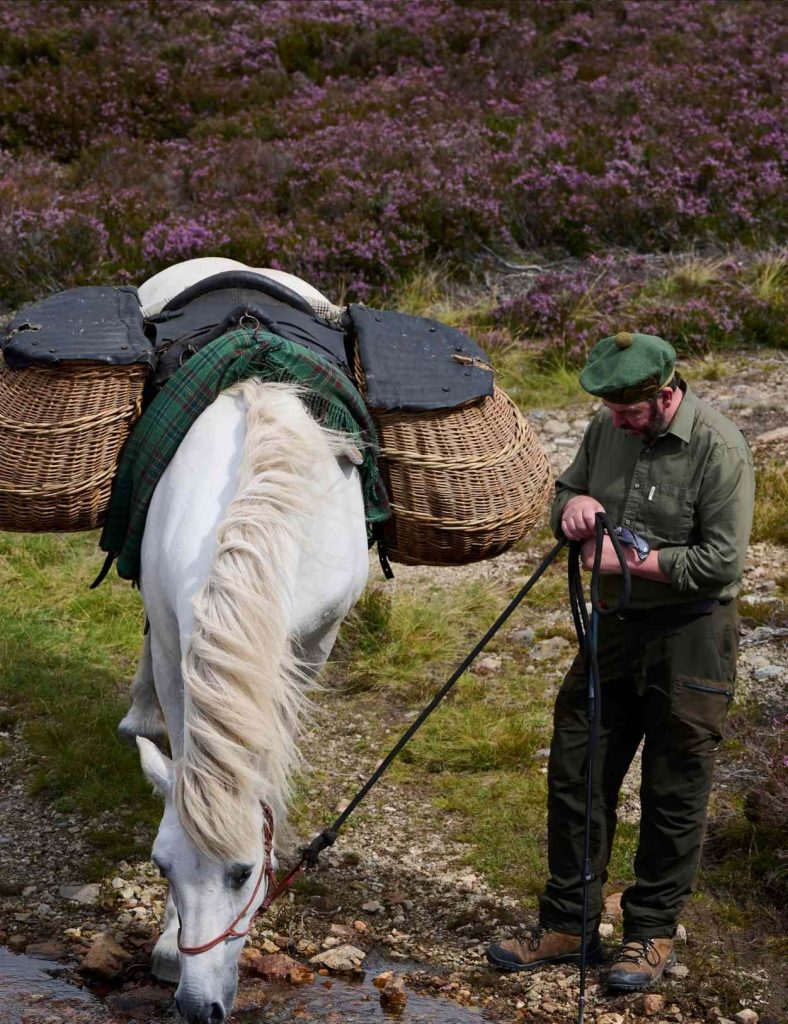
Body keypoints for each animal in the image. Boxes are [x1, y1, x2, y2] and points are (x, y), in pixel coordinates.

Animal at [117, 260, 370, 1024]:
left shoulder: (313, 642)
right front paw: (168, 941)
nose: (198, 1007)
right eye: (161, 865)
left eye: (244, 874)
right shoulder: (178, 639)